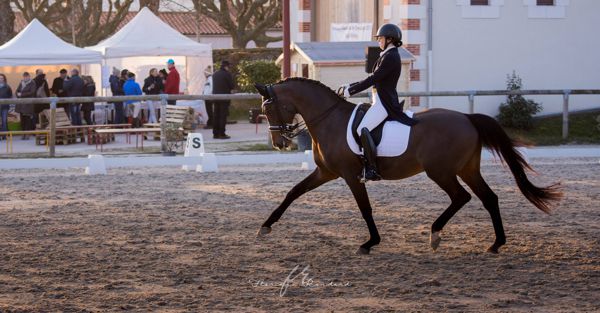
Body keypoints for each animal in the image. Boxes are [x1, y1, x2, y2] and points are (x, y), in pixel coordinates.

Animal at [253, 78, 564, 254]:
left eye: (268, 107)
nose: (278, 143)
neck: (330, 120)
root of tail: (466, 117)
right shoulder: (325, 172)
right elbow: (293, 192)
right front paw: (265, 227)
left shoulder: (351, 175)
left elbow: (365, 208)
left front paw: (370, 242)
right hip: (467, 169)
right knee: (489, 198)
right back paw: (496, 243)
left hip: (440, 171)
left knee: (461, 197)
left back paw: (436, 234)